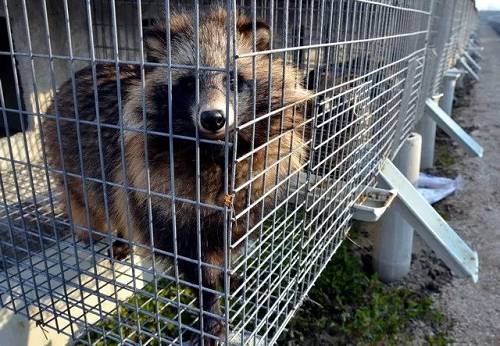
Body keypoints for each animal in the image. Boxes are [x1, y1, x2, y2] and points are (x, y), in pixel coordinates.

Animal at [44, 8, 308, 344]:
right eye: (188, 83)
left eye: (233, 79)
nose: (213, 118)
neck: (213, 149)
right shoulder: (163, 194)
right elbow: (195, 264)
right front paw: (210, 312)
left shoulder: (253, 186)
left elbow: (228, 243)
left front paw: (227, 275)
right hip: (73, 159)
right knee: (104, 199)